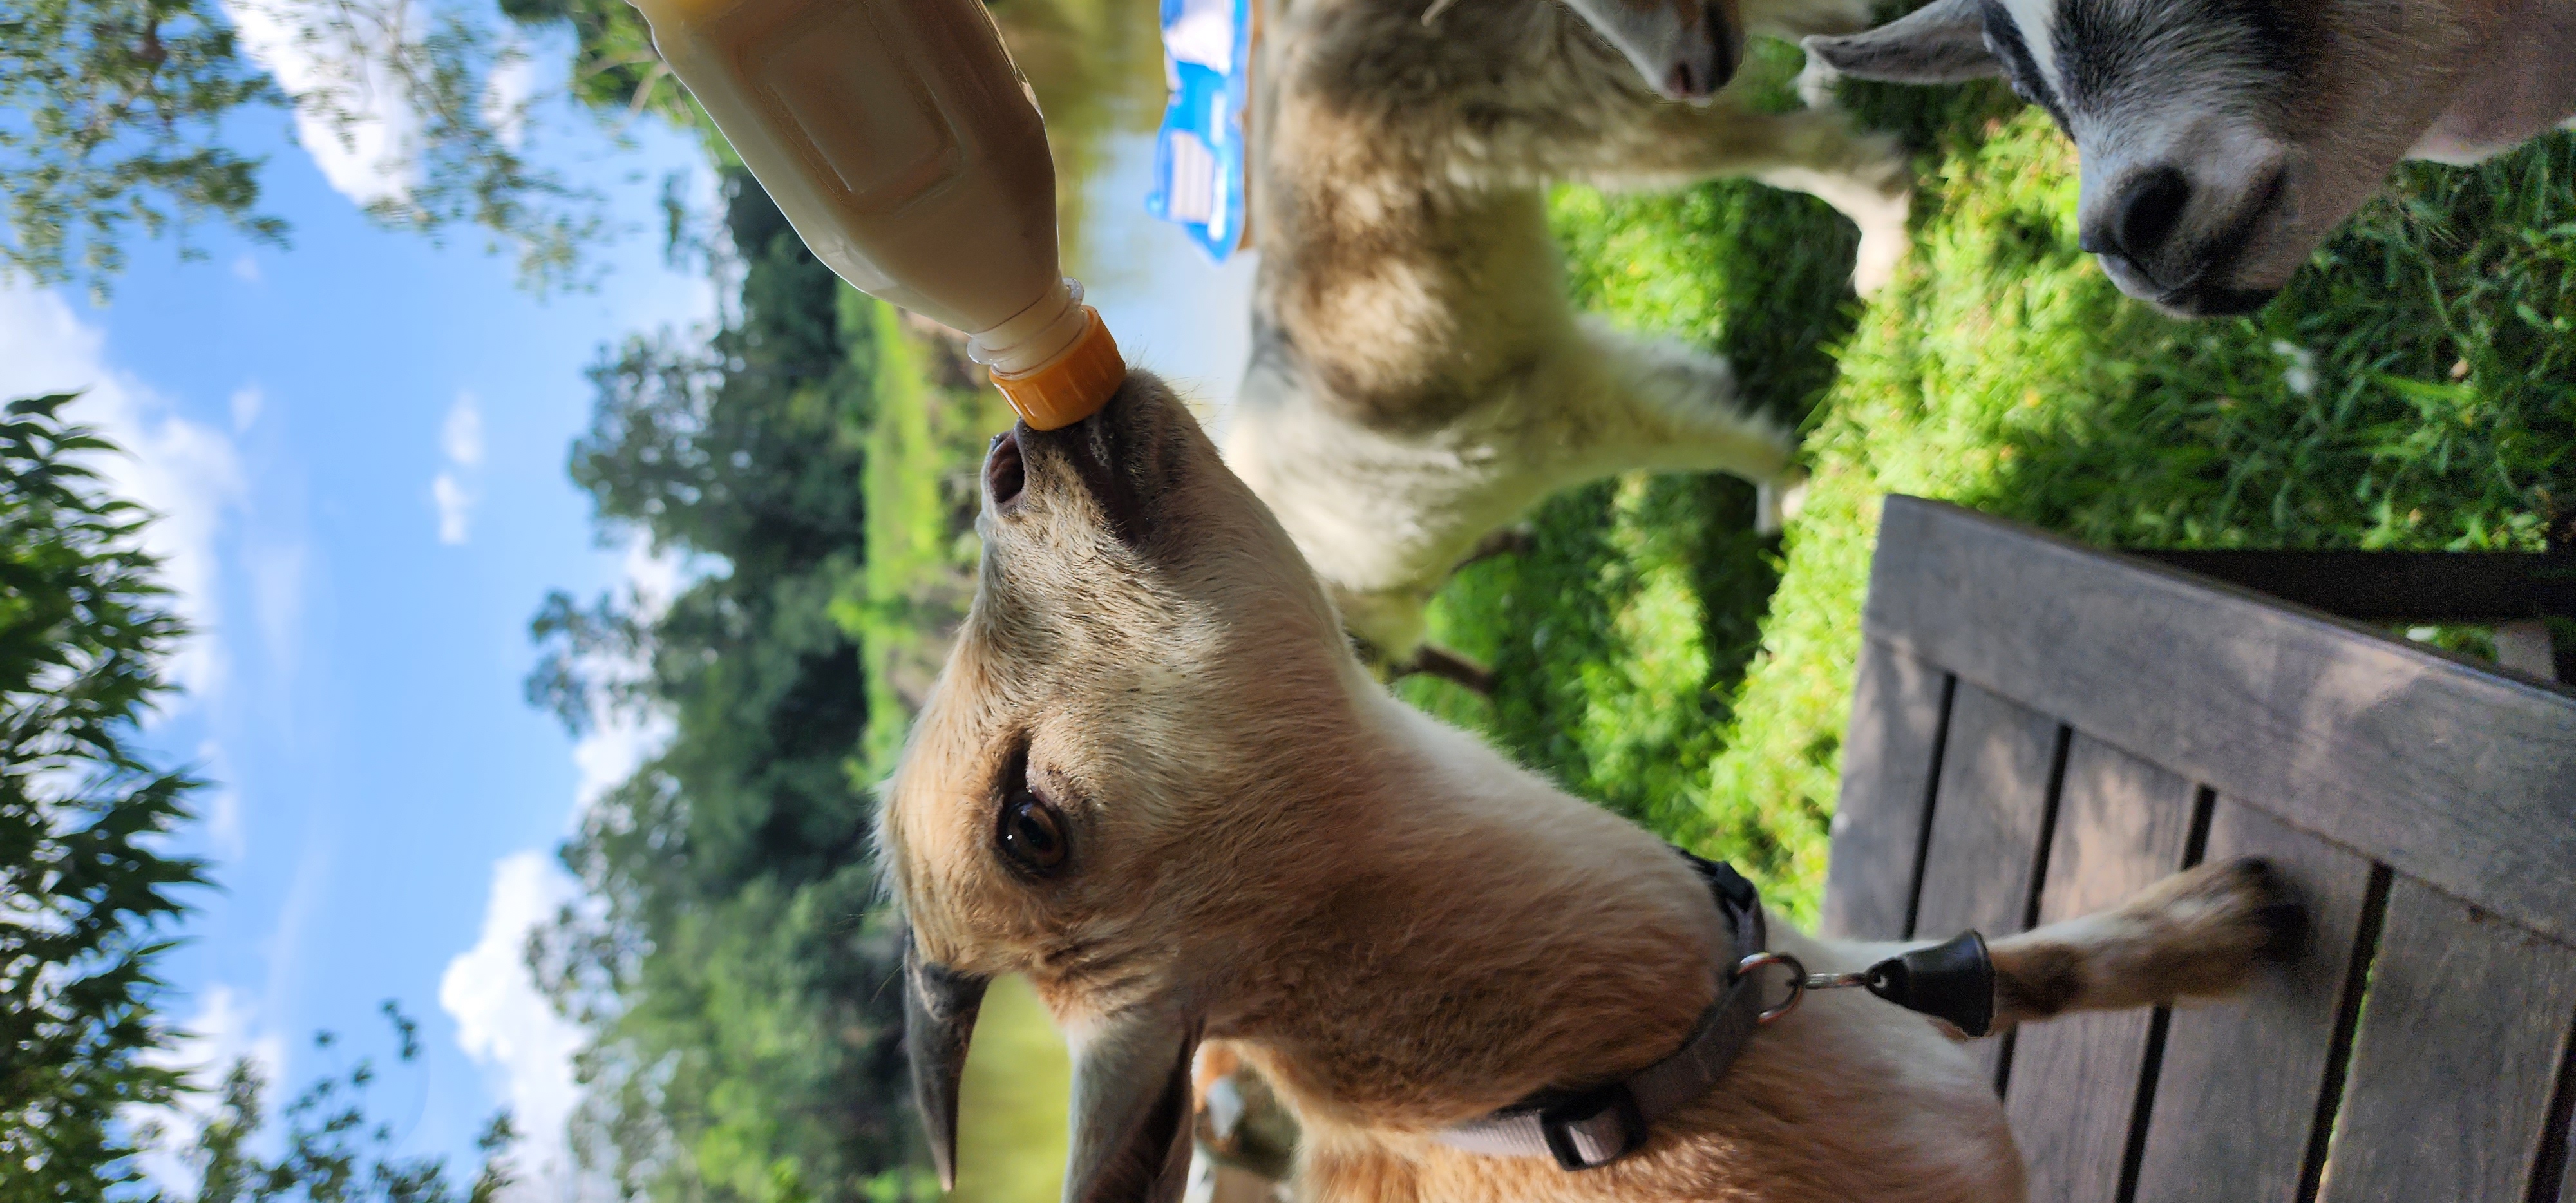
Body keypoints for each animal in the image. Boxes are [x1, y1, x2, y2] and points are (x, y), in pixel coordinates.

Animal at [1219, 0, 1915, 677]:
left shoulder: (1553, 427)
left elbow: (1713, 443)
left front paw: (1784, 481)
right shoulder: (1561, 374)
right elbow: (1670, 388)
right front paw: (1717, 387)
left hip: (1592, 116)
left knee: (1799, 146)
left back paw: (1882, 222)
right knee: (1813, 39)